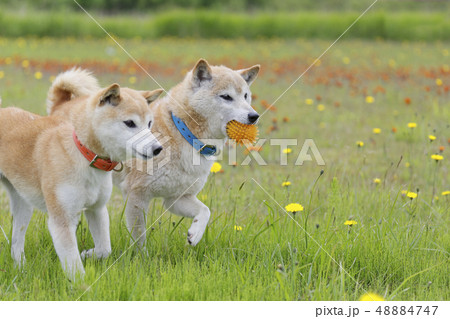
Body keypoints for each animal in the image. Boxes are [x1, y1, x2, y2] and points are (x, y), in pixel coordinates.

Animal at [0, 69, 164, 278]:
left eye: (149, 123)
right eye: (130, 123)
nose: (158, 148)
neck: (85, 154)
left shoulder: (97, 209)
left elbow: (104, 249)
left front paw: (88, 254)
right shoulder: (62, 220)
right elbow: (74, 266)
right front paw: (82, 283)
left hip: (23, 205)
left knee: (16, 244)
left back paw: (21, 269)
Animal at [46, 60, 260, 249]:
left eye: (246, 96)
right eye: (226, 96)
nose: (254, 116)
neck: (181, 131)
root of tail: (61, 105)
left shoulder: (176, 198)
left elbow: (205, 211)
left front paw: (195, 234)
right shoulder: (137, 194)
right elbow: (139, 237)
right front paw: (141, 259)